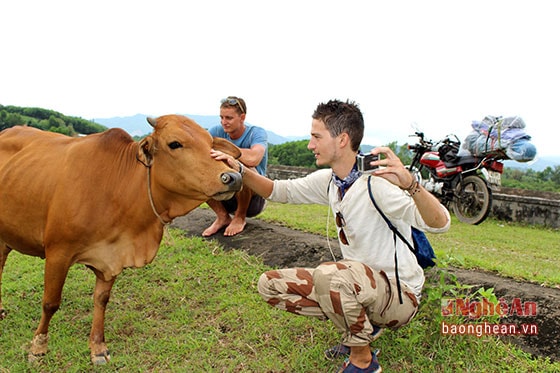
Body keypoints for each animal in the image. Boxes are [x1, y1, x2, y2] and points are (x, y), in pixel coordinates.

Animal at [0, 114, 243, 364]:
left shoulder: (112, 257)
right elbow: (50, 303)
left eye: (210, 144)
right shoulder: (58, 253)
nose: (232, 177)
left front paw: (98, 347)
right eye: (174, 143)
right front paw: (38, 347)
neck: (118, 188)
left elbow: (101, 299)